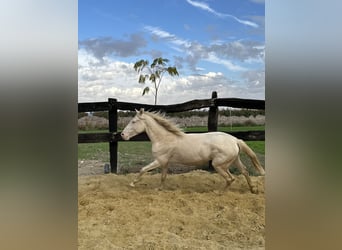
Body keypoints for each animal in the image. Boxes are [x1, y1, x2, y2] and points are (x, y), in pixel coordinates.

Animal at [121, 108, 266, 193]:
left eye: (133, 121)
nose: (122, 135)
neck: (164, 138)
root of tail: (235, 140)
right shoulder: (165, 162)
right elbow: (163, 176)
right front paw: (159, 188)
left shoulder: (160, 160)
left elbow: (143, 169)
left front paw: (132, 184)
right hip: (234, 160)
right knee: (244, 171)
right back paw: (253, 189)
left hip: (219, 164)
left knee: (231, 178)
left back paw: (219, 192)